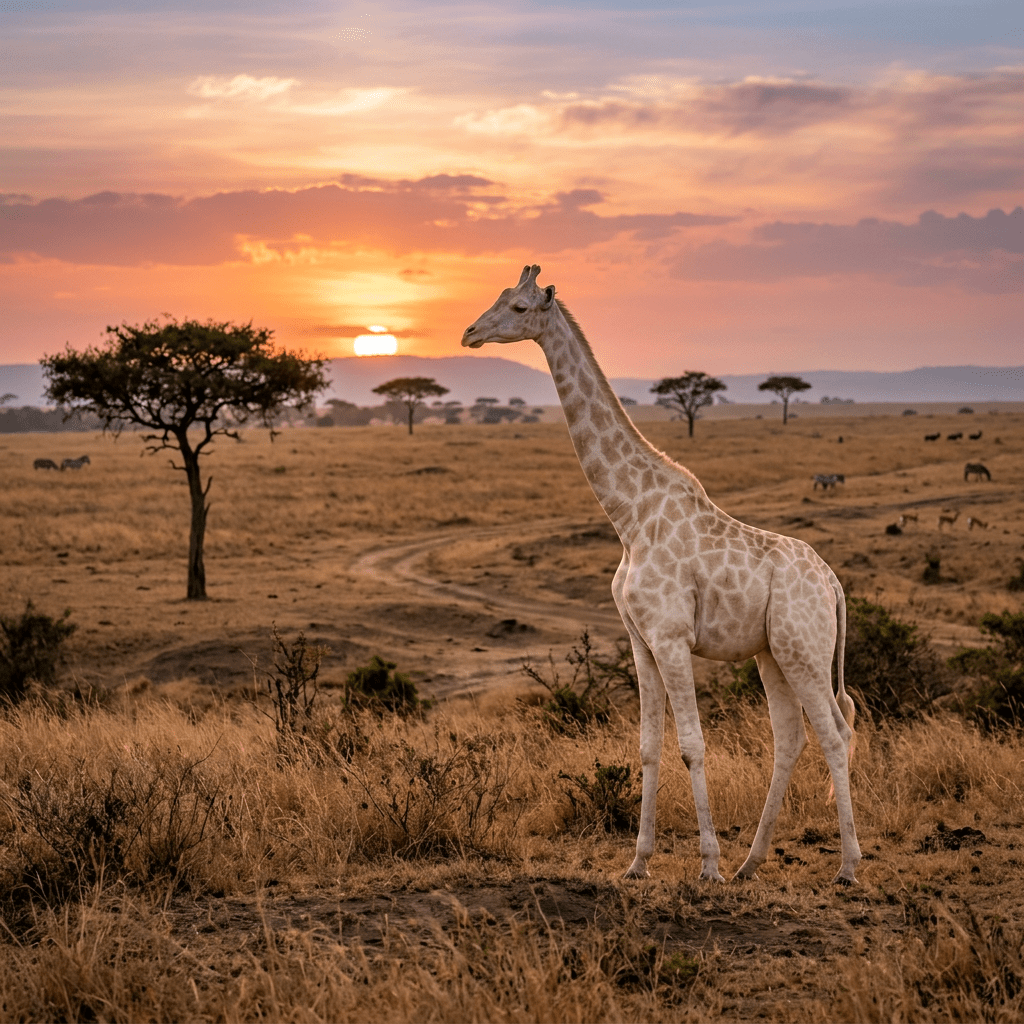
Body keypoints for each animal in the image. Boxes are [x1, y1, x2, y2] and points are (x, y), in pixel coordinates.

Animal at [463, 266, 861, 885]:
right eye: (499, 297)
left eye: (521, 307)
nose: (470, 333)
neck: (629, 515)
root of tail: (832, 582)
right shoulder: (640, 641)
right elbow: (648, 745)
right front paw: (638, 862)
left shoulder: (672, 637)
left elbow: (692, 744)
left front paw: (707, 866)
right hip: (773, 653)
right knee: (792, 738)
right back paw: (752, 863)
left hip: (806, 649)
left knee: (836, 734)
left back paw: (845, 866)